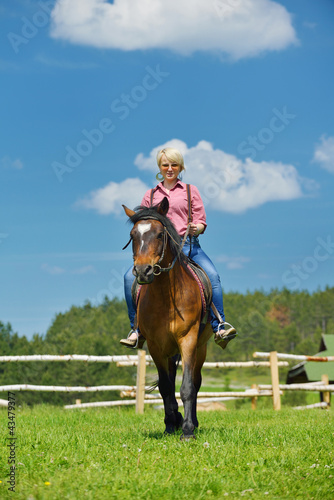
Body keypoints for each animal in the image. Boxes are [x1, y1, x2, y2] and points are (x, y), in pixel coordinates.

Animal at [122, 197, 211, 440]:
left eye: (160, 234)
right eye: (133, 235)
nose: (143, 270)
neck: (166, 297)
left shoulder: (188, 340)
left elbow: (188, 386)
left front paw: (188, 430)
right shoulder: (155, 346)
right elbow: (165, 387)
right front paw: (172, 423)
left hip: (201, 347)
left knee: (196, 382)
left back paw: (193, 422)